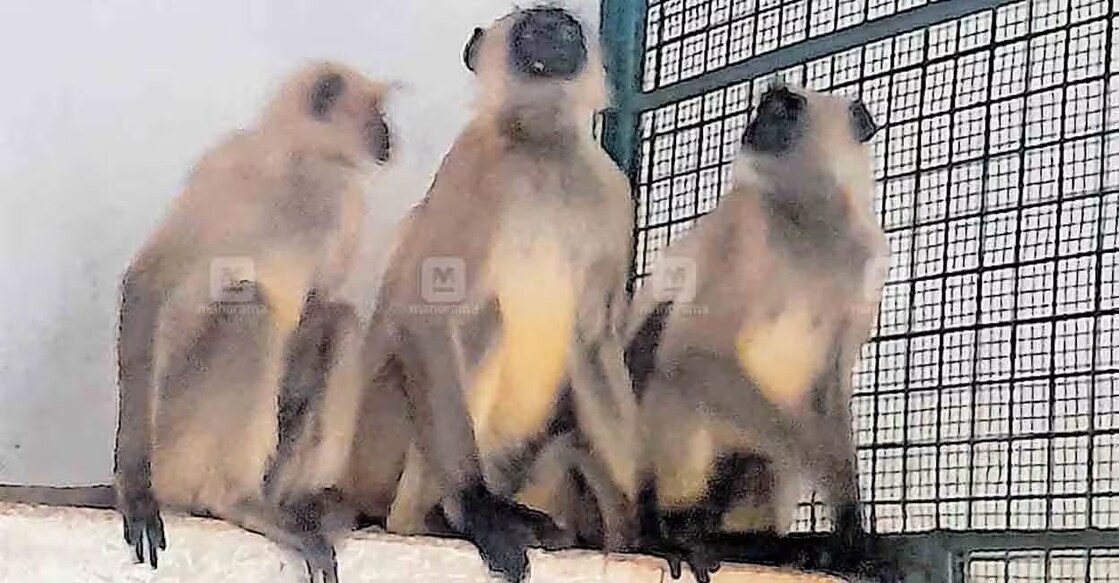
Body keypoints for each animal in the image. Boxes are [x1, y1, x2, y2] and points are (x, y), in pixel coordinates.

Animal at [112, 61, 393, 582]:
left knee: (339, 321)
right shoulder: (230, 165)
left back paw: (297, 503)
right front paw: (135, 490)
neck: (302, 170)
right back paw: (234, 500)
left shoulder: (344, 202)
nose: (387, 135)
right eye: (375, 112)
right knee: (250, 306)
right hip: (178, 430)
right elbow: (150, 281)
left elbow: (319, 304)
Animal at [359, 6, 641, 581]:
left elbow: (595, 341)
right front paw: (475, 508)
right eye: (532, 27)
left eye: (566, 28)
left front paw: (644, 531)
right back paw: (435, 517)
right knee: (480, 320)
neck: (541, 145)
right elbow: (425, 315)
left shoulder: (610, 191)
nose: (554, 34)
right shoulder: (471, 167)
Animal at [619, 82, 902, 583]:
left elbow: (829, 388)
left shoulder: (868, 257)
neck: (810, 221)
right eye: (768, 108)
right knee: (665, 357)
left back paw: (755, 544)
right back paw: (661, 529)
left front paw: (850, 534)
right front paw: (815, 458)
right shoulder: (745, 223)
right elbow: (691, 351)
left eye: (783, 111)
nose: (755, 127)